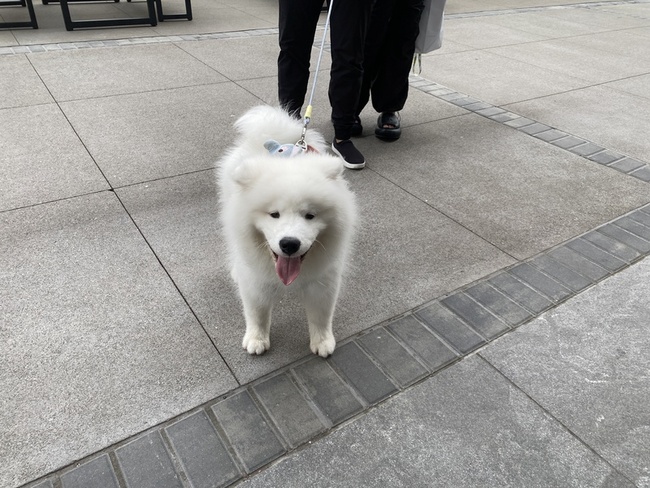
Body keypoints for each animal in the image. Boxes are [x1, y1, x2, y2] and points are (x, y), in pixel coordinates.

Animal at [216, 106, 354, 358]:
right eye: (274, 214)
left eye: (310, 215)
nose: (289, 243)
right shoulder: (255, 282)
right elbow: (257, 312)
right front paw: (256, 339)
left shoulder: (324, 281)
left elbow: (321, 315)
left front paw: (322, 342)